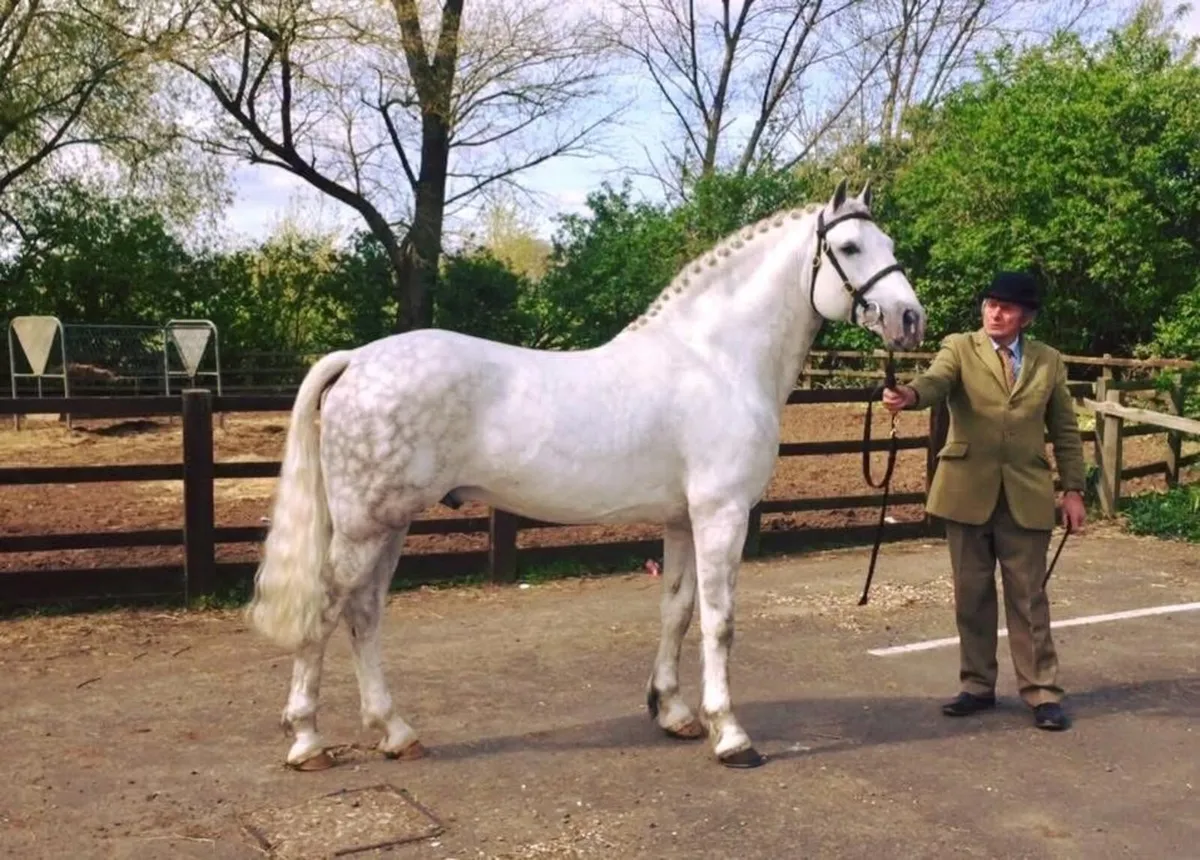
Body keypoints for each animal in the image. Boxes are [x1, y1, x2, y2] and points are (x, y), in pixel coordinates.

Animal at [246, 178, 926, 771]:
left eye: (890, 243)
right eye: (849, 248)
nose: (910, 319)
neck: (717, 361)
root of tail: (357, 360)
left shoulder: (681, 520)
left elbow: (677, 610)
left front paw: (673, 712)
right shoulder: (721, 515)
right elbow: (719, 620)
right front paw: (730, 735)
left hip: (389, 524)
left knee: (364, 613)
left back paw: (395, 732)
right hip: (364, 527)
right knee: (328, 608)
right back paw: (307, 741)